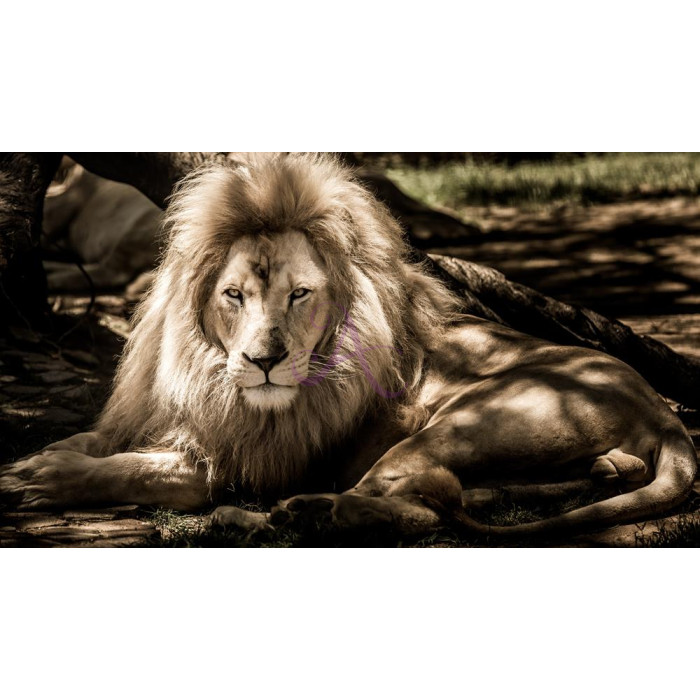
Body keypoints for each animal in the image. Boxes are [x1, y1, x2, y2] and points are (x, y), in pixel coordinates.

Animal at [1, 152, 696, 539]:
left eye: (300, 295)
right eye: (234, 295)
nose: (264, 362)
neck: (206, 373)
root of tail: (661, 410)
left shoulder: (247, 462)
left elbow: (140, 470)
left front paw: (42, 479)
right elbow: (98, 440)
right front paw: (47, 456)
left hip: (460, 424)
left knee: (411, 509)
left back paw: (281, 516)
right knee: (452, 499)